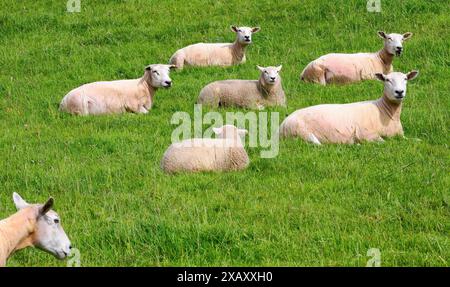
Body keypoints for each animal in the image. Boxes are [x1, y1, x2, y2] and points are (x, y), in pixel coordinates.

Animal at [280, 71, 420, 145]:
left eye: (405, 79)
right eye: (387, 80)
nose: (399, 92)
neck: (384, 111)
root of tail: (281, 126)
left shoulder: (400, 135)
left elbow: (414, 140)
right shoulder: (367, 134)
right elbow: (385, 142)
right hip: (303, 133)